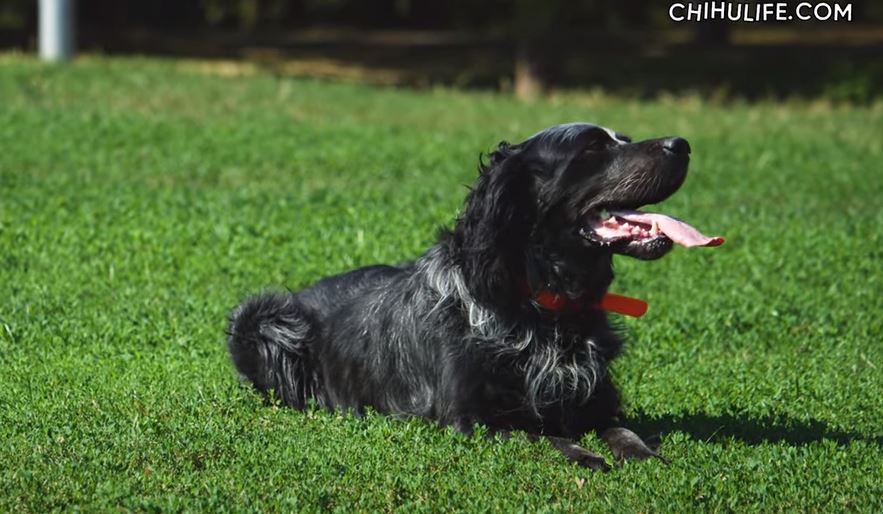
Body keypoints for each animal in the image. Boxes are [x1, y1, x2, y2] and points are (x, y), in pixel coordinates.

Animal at [224, 123, 720, 468]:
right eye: (594, 148)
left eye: (625, 140)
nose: (682, 144)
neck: (544, 308)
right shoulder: (471, 419)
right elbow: (543, 435)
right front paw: (583, 453)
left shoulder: (597, 404)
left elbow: (623, 431)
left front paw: (642, 453)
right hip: (263, 319)